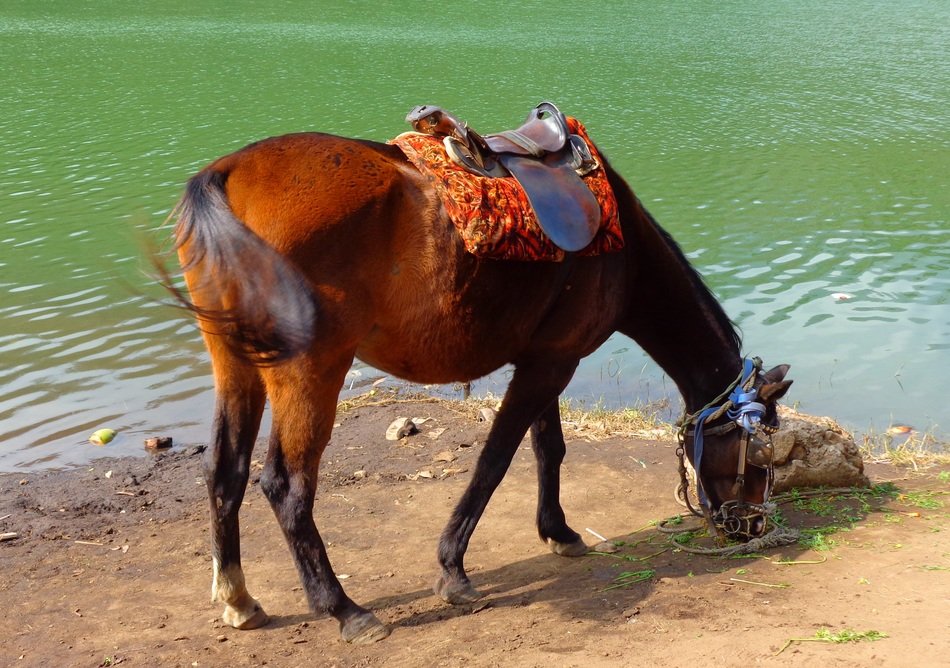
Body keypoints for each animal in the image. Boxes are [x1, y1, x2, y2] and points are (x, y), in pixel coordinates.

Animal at [165, 125, 792, 644]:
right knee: (286, 486)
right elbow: (495, 460)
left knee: (225, 471)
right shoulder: (550, 365)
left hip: (235, 362)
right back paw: (346, 611)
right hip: (311, 369)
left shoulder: (547, 357)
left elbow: (547, 448)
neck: (625, 250)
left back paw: (239, 599)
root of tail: (227, 173)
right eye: (759, 456)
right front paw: (453, 570)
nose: (754, 527)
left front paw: (559, 531)